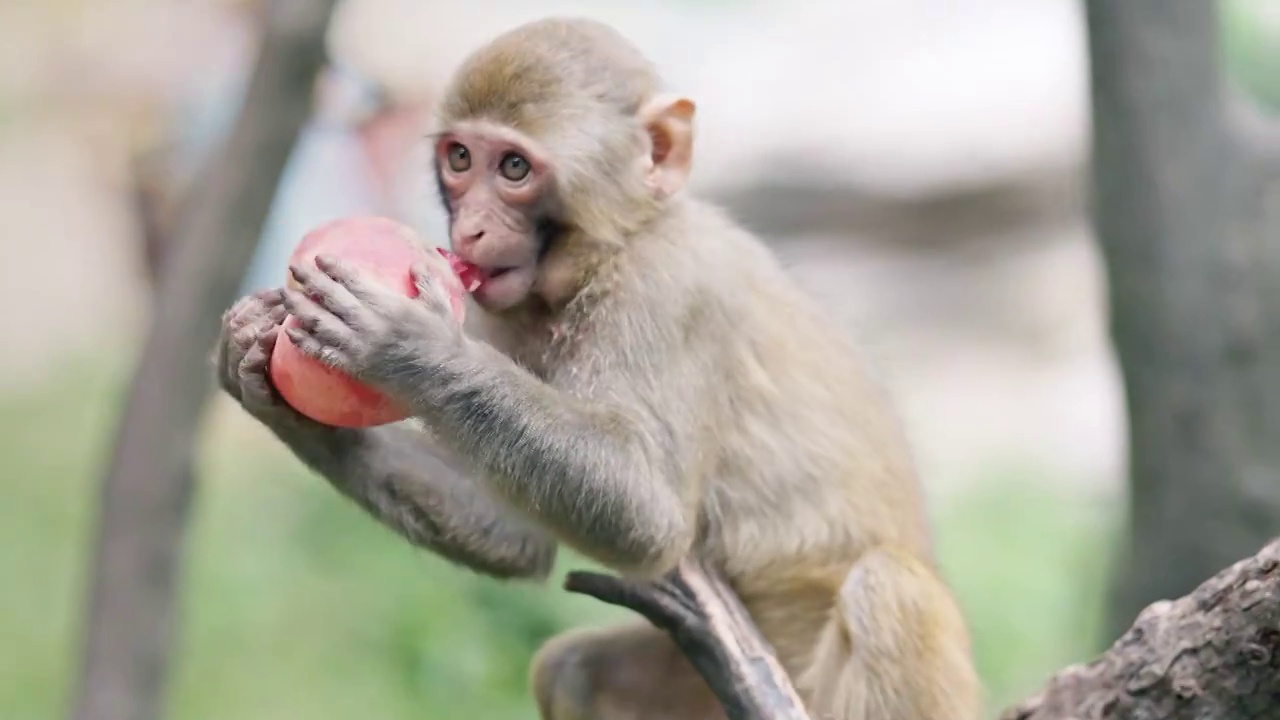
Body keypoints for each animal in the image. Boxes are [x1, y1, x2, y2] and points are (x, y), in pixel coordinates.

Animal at [212, 15, 977, 717]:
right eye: (459, 158)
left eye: (513, 168)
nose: (469, 229)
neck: (606, 252)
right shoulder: (497, 314)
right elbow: (519, 532)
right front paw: (257, 368)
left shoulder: (670, 289)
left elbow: (647, 515)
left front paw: (408, 348)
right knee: (570, 669)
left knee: (891, 590)